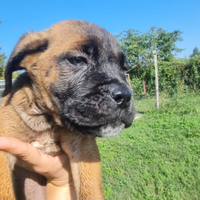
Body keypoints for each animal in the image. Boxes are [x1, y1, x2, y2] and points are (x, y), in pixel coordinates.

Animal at [0, 20, 135, 200]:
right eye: (77, 60)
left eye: (124, 68)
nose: (126, 96)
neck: (48, 121)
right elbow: (4, 191)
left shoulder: (83, 147)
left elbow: (90, 189)